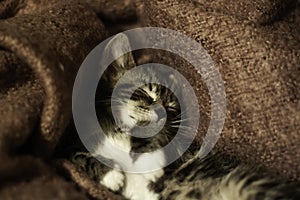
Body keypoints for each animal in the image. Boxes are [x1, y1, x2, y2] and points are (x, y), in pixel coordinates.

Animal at [71, 33, 300, 199]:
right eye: (147, 92)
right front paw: (110, 176)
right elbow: (80, 157)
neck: (122, 132)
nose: (161, 113)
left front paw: (147, 161)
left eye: (171, 107)